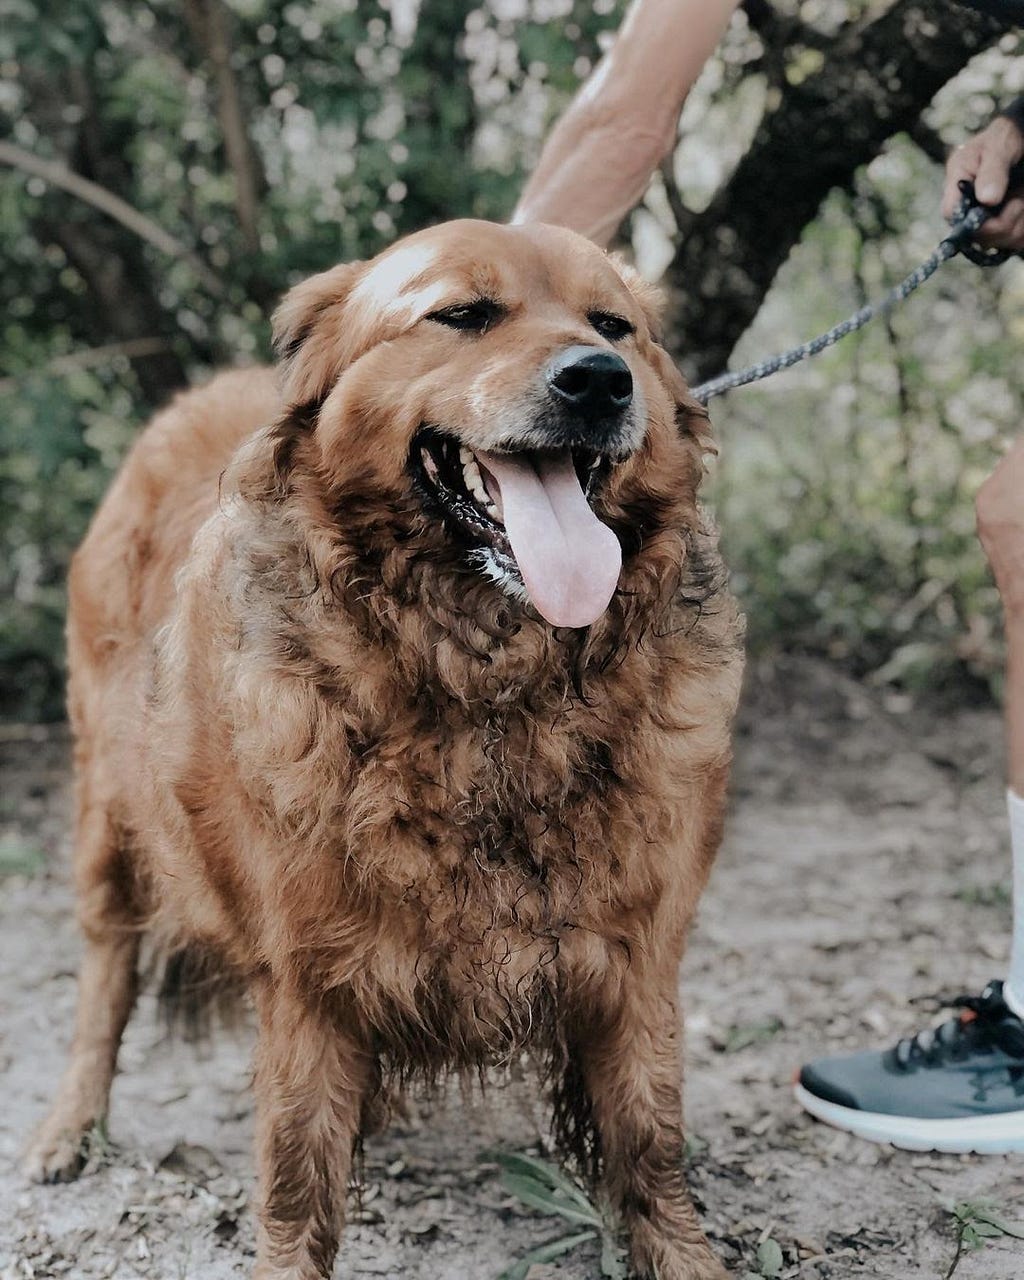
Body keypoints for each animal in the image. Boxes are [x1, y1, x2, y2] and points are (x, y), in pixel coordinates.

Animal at [28, 222, 742, 1280]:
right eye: (464, 314)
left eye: (614, 325)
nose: (600, 381)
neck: (493, 690)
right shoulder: (308, 980)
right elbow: (296, 1177)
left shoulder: (638, 954)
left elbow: (652, 1146)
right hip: (107, 823)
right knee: (103, 984)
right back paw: (69, 1125)